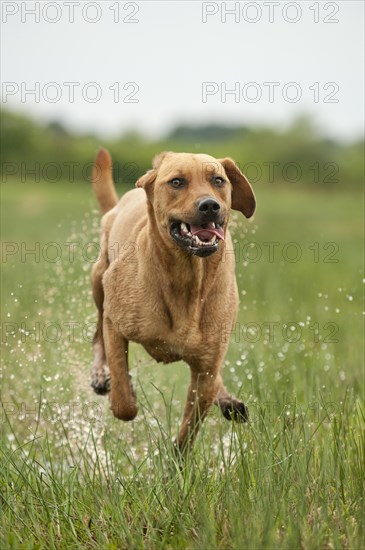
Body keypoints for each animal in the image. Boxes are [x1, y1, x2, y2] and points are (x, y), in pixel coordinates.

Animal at [90, 148, 256, 452]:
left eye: (218, 180)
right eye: (176, 182)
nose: (210, 205)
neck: (187, 278)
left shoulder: (206, 369)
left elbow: (188, 432)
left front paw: (176, 462)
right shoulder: (114, 322)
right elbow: (123, 402)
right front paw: (122, 386)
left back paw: (228, 400)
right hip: (98, 279)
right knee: (97, 335)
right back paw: (100, 373)